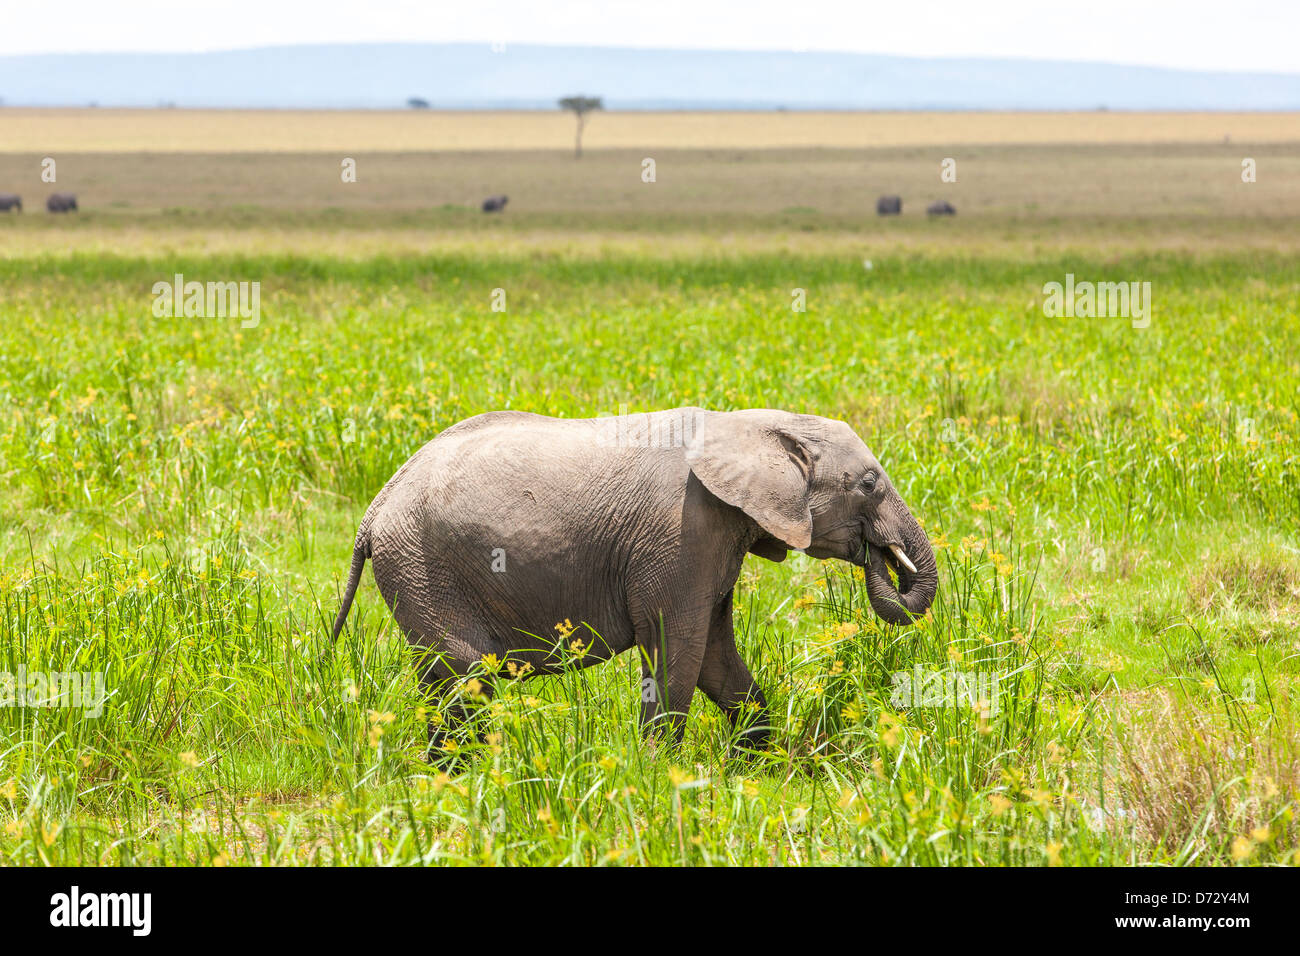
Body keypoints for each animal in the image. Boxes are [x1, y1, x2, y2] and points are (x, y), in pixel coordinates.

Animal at [331, 408, 937, 752]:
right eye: (868, 484)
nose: (882, 556)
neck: (746, 424)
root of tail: (375, 509)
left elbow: (714, 655)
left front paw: (760, 760)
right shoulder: (682, 531)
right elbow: (678, 645)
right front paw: (660, 772)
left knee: (444, 681)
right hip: (420, 566)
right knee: (463, 676)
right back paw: (470, 776)